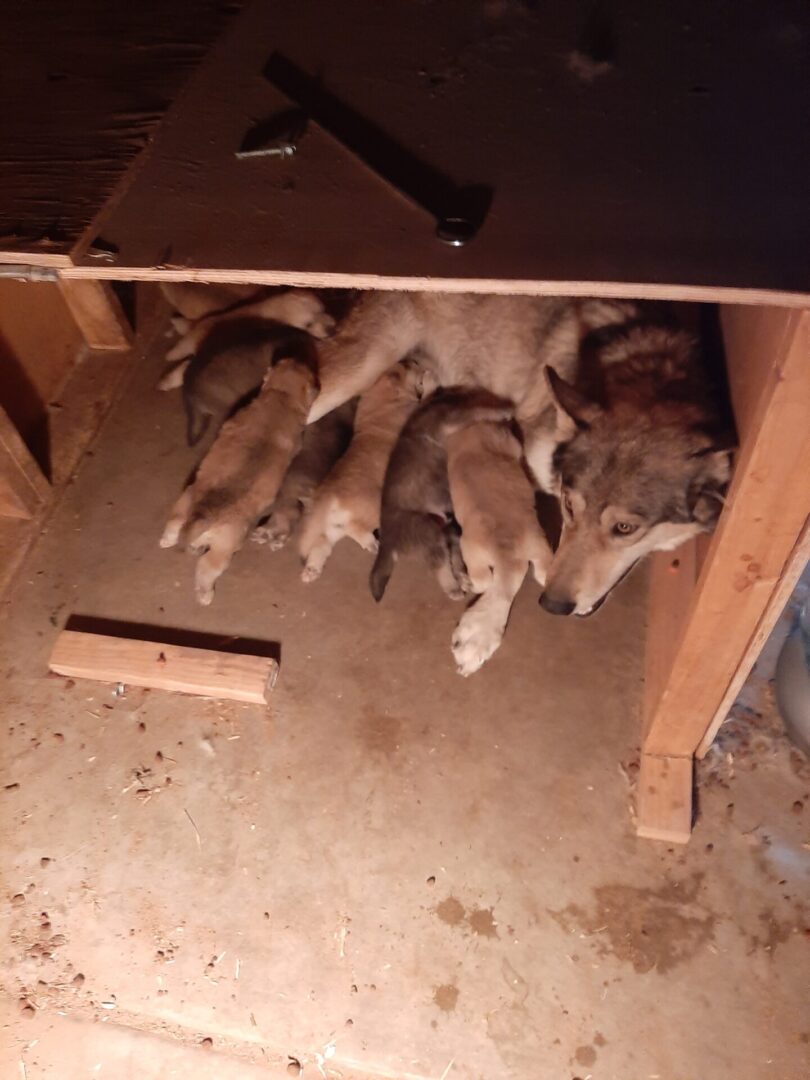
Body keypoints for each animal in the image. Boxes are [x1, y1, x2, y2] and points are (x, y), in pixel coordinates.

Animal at [159, 347, 319, 609]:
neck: (280, 395)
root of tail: (204, 514)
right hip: (224, 547)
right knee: (207, 568)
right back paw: (205, 595)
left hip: (184, 501)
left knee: (172, 525)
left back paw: (167, 541)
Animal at [298, 356, 434, 583]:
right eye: (406, 365)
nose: (415, 361)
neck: (382, 397)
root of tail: (328, 496)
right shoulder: (414, 408)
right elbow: (425, 398)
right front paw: (430, 379)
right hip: (372, 508)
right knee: (356, 529)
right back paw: (372, 543)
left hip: (330, 532)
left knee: (320, 548)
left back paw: (311, 571)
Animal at [369, 386, 509, 609]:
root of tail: (387, 540)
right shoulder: (451, 418)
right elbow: (479, 411)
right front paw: (504, 411)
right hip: (427, 530)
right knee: (441, 568)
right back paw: (454, 588)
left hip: (446, 528)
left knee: (452, 556)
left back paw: (462, 577)